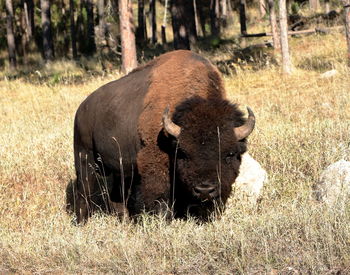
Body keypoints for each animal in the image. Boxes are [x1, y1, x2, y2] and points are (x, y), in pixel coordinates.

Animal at [72, 50, 254, 224]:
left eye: (230, 154)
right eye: (183, 153)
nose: (205, 190)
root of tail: (81, 108)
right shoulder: (155, 165)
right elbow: (161, 200)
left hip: (120, 169)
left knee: (117, 196)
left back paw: (124, 220)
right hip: (85, 159)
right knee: (83, 192)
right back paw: (82, 222)